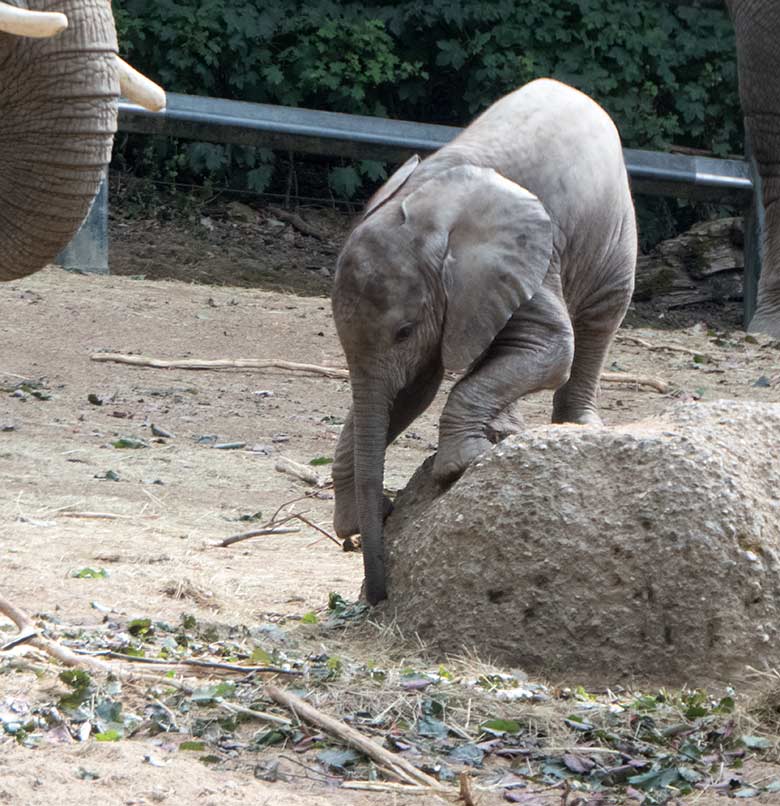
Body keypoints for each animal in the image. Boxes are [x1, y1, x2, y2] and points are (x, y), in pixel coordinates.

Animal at [332, 79, 636, 608]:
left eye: (404, 331)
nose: (377, 595)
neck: (430, 210)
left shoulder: (529, 260)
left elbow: (552, 349)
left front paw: (461, 466)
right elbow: (412, 392)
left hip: (614, 227)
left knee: (603, 315)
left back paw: (574, 426)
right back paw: (507, 434)